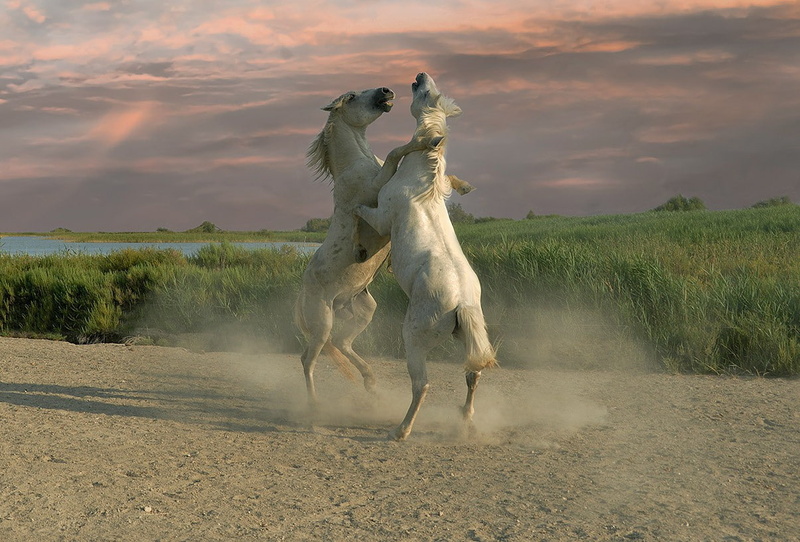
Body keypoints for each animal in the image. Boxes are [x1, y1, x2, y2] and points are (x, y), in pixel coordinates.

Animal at [296, 86, 474, 406]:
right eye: (352, 96)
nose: (386, 91)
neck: (354, 165)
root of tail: (303, 289)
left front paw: (464, 185)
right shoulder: (376, 189)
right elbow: (394, 153)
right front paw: (426, 140)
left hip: (364, 309)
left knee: (342, 342)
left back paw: (370, 381)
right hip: (322, 321)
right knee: (309, 359)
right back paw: (314, 405)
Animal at [354, 73, 497, 440]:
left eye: (426, 92)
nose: (419, 75)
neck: (420, 181)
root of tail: (461, 302)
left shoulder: (382, 216)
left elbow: (365, 210)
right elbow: (451, 180)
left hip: (414, 340)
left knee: (422, 385)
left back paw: (400, 431)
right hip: (467, 340)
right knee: (472, 375)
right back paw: (465, 420)